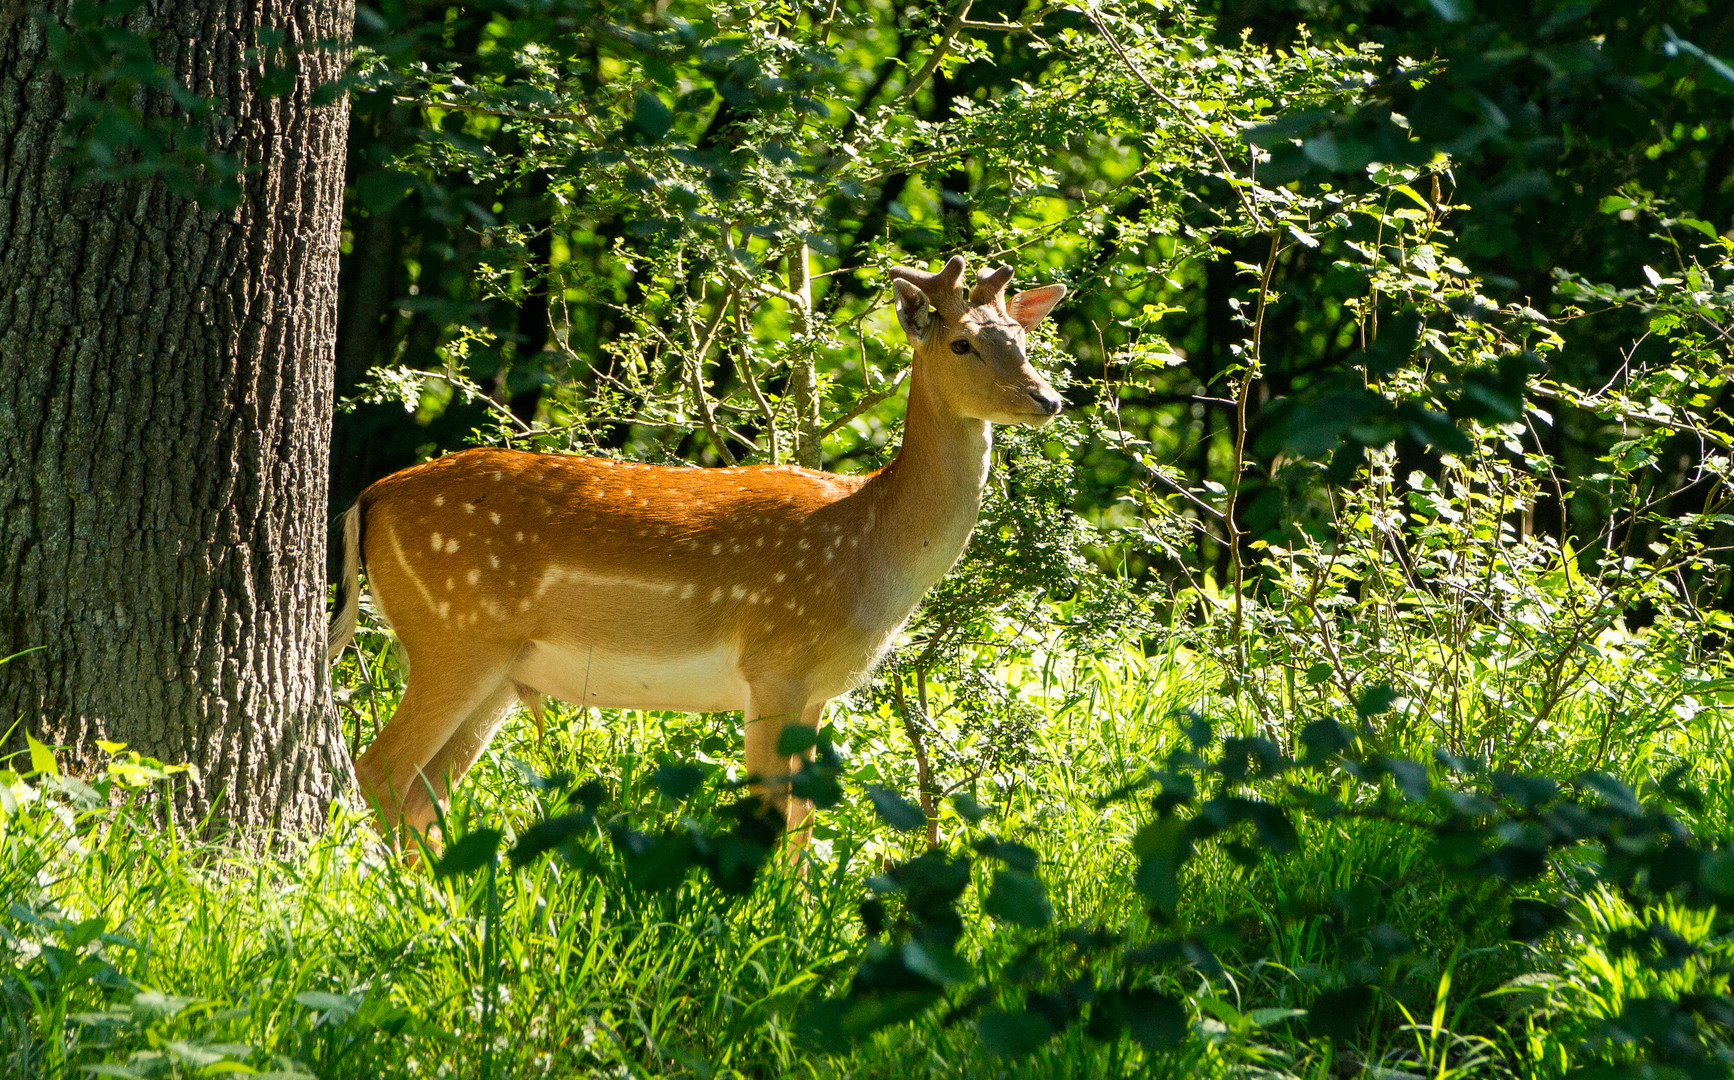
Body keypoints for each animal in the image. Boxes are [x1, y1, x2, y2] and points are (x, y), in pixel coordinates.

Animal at [319, 258, 1061, 849]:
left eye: (1022, 339)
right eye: (963, 343)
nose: (1049, 398)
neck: (871, 548)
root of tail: (369, 497)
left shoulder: (819, 689)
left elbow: (802, 823)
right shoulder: (774, 664)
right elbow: (769, 816)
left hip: (498, 669)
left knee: (424, 793)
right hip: (453, 635)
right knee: (379, 771)